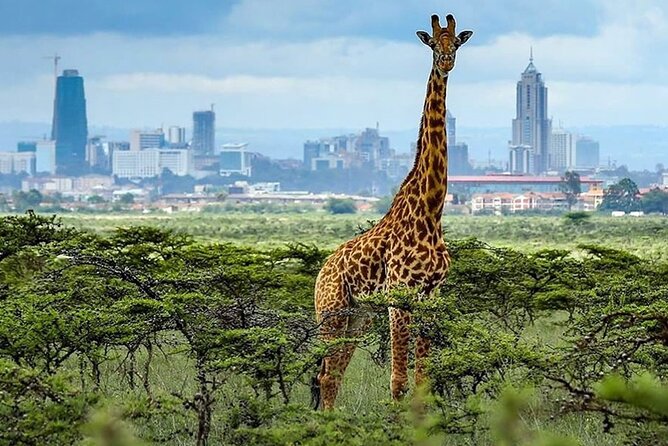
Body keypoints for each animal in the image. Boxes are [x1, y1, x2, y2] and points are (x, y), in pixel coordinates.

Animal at [312, 13, 473, 410]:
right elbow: (398, 382)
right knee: (325, 374)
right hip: (332, 312)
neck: (430, 210)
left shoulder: (431, 296)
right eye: (432, 43)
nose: (446, 62)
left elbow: (421, 382)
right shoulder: (399, 296)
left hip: (359, 315)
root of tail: (321, 272)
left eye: (456, 42)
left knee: (333, 375)